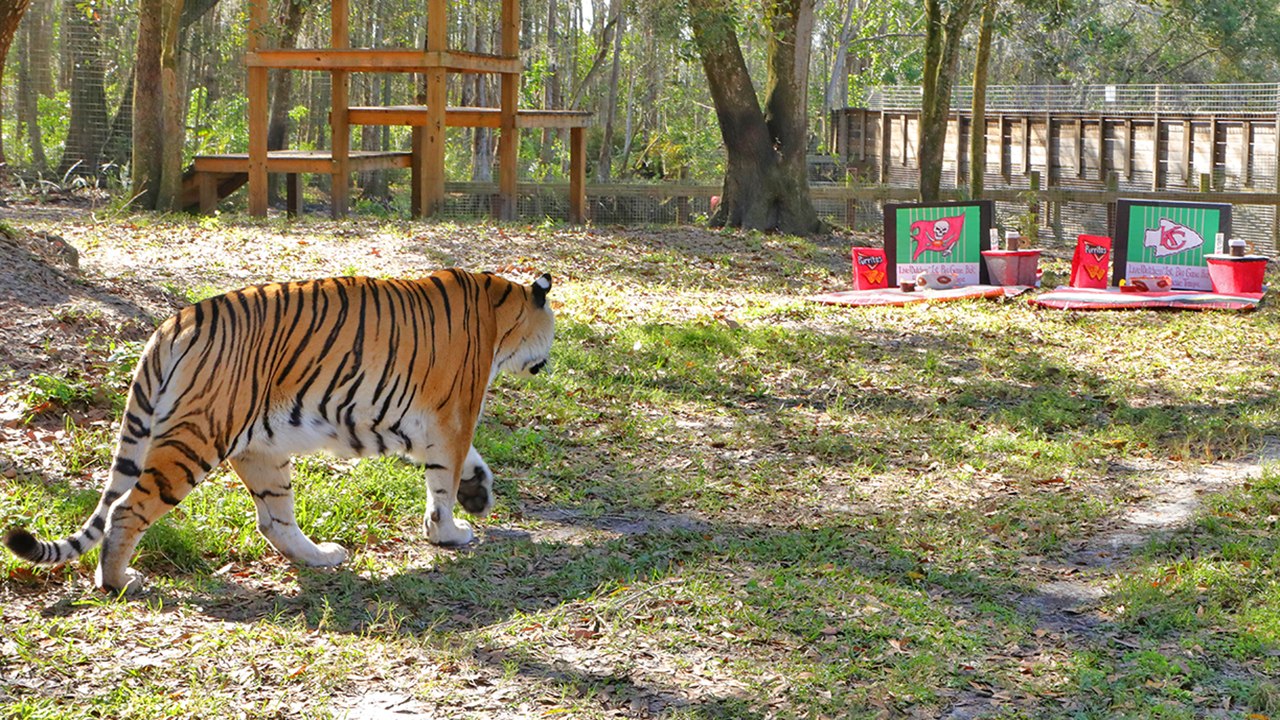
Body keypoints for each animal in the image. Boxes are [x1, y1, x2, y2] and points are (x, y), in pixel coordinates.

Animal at [3, 269, 555, 595]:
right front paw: (449, 532)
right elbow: (444, 477)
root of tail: (175, 321)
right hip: (198, 437)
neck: (501, 308)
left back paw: (322, 556)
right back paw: (117, 581)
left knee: (274, 520)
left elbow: (467, 462)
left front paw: (477, 493)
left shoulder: (421, 421)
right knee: (125, 508)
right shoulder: (452, 414)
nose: (546, 363)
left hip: (260, 446)